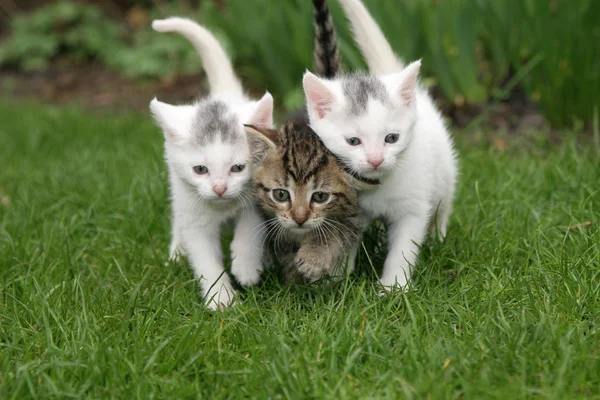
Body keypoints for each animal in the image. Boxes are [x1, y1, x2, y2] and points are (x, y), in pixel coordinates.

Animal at [151, 18, 274, 310]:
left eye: (238, 168)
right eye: (200, 169)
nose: (219, 188)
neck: (222, 208)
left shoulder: (261, 191)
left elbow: (251, 223)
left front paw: (246, 265)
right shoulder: (194, 212)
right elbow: (205, 257)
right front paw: (221, 298)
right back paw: (177, 251)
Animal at [243, 120, 364, 282]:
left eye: (320, 196)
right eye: (280, 194)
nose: (299, 219)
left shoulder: (356, 213)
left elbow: (338, 228)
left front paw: (313, 257)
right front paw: (293, 279)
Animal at [302, 0, 458, 290]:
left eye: (391, 138)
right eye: (353, 141)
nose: (375, 159)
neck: (375, 187)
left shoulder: (413, 206)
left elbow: (404, 246)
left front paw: (394, 286)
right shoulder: (344, 209)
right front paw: (337, 278)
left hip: (444, 173)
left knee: (444, 203)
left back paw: (438, 237)